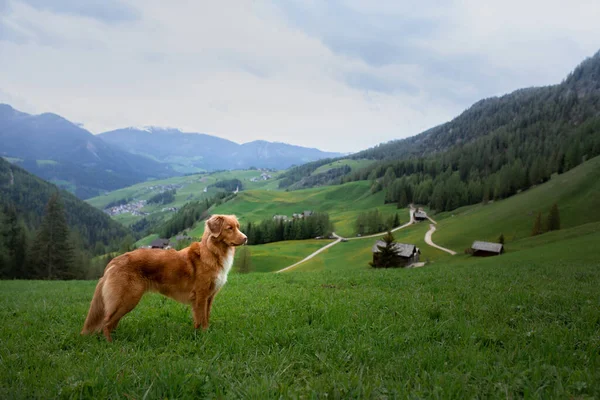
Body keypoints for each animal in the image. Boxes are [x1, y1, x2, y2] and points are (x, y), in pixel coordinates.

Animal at [81, 214, 246, 342]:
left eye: (237, 227)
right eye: (229, 228)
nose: (246, 238)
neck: (212, 252)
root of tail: (113, 261)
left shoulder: (209, 297)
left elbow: (205, 316)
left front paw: (200, 333)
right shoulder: (201, 295)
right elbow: (202, 318)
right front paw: (204, 336)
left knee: (110, 323)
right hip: (126, 299)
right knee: (105, 323)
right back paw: (111, 344)